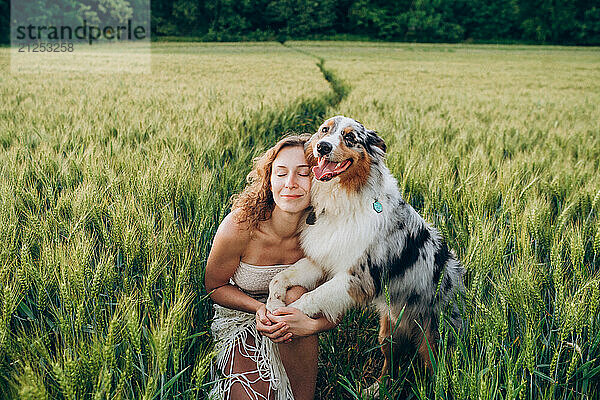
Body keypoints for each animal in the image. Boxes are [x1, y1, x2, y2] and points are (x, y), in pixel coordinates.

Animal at [264, 115, 466, 384]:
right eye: (324, 130)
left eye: (350, 137)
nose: (323, 147)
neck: (343, 199)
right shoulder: (322, 259)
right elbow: (279, 277)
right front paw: (273, 304)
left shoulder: (357, 277)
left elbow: (310, 297)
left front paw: (286, 318)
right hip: (388, 329)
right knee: (391, 360)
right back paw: (378, 387)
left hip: (434, 340)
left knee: (437, 375)